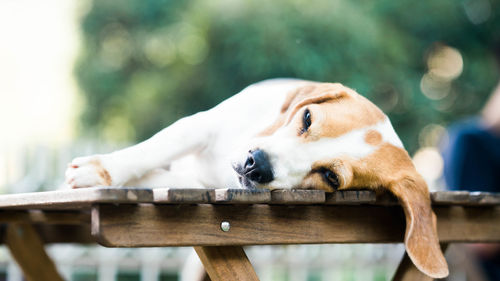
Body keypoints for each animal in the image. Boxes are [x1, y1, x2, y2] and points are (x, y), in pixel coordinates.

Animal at [65, 79, 450, 278]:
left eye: (330, 176)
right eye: (307, 118)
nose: (257, 165)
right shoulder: (199, 125)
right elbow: (152, 150)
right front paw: (101, 169)